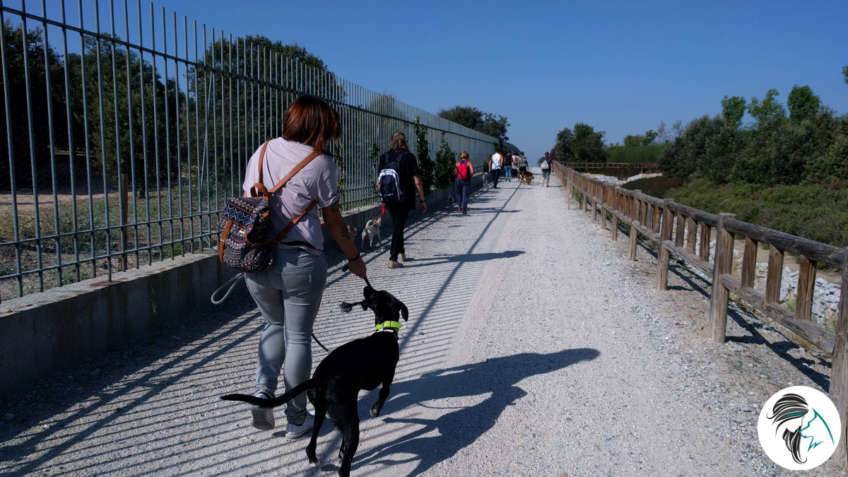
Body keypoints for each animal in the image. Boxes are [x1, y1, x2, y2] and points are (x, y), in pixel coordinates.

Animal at [222, 284, 408, 474]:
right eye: (376, 293)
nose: (366, 286)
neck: (385, 330)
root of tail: (320, 378)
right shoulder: (387, 379)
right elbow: (384, 394)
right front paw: (375, 411)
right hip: (349, 419)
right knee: (343, 464)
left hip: (322, 412)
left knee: (312, 445)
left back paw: (318, 457)